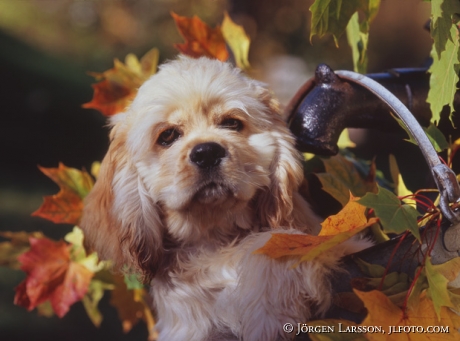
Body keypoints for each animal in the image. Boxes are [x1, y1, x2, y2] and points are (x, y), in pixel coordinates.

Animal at [81, 56, 372, 340]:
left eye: (232, 123)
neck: (215, 239)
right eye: (167, 136)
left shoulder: (340, 244)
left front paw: (267, 319)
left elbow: (273, 245)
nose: (207, 152)